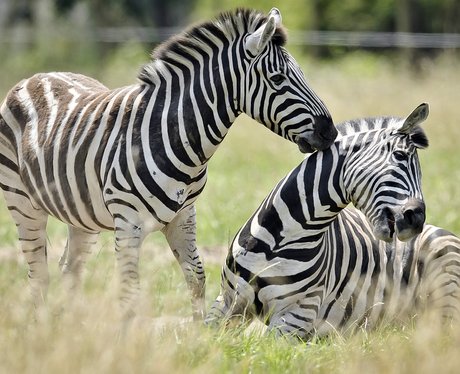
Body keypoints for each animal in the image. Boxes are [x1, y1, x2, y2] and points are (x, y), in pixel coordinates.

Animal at [0, 7, 334, 320]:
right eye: (277, 79)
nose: (330, 132)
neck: (178, 140)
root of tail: (35, 76)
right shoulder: (128, 222)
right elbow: (129, 291)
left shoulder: (184, 216)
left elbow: (196, 278)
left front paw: (197, 336)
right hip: (23, 203)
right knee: (39, 275)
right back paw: (46, 328)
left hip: (82, 213)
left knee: (70, 269)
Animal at [207, 103, 458, 338]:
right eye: (400, 156)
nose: (417, 220)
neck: (281, 237)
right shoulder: (227, 300)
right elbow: (208, 336)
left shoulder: (296, 315)